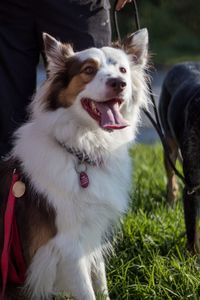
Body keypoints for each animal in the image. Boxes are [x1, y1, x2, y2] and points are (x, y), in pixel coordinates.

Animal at [0, 28, 148, 300]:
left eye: (122, 70)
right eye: (89, 70)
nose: (119, 83)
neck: (81, 151)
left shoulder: (91, 235)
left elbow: (100, 282)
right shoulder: (68, 245)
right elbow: (88, 292)